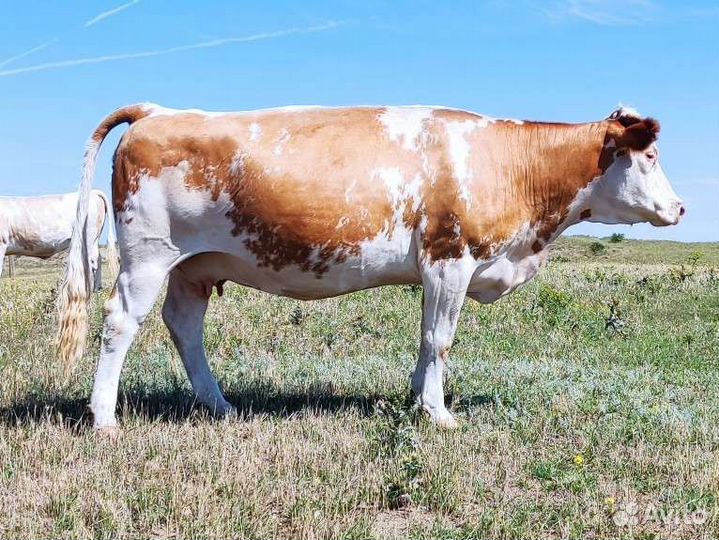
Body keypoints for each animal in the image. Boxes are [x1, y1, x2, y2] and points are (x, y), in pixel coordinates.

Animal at [56, 103, 684, 430]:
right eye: (651, 156)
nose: (680, 207)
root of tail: (156, 111)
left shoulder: (436, 272)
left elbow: (426, 340)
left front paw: (416, 397)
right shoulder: (449, 260)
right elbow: (440, 339)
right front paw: (438, 414)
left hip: (195, 267)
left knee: (185, 327)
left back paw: (221, 404)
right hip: (147, 256)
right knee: (120, 323)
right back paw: (105, 417)